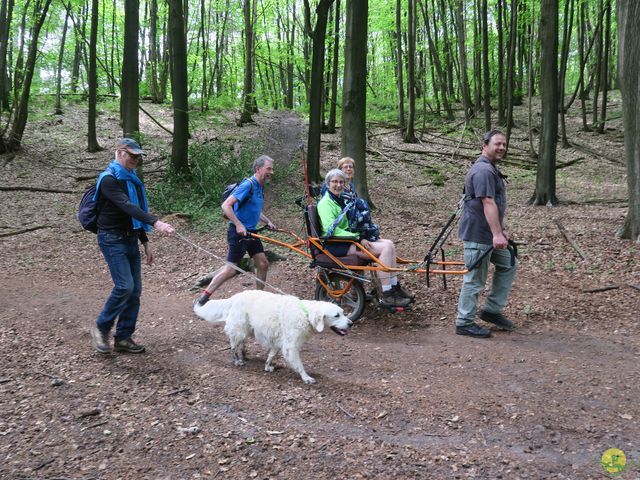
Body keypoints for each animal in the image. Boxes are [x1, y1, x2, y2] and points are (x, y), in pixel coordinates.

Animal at [195, 288, 356, 382]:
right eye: (336, 315)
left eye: (343, 313)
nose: (350, 323)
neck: (305, 313)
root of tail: (236, 296)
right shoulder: (290, 346)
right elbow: (299, 364)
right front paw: (306, 377)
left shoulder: (279, 343)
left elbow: (271, 355)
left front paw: (268, 367)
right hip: (240, 330)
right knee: (233, 347)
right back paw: (237, 361)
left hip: (246, 330)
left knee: (240, 345)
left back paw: (244, 354)